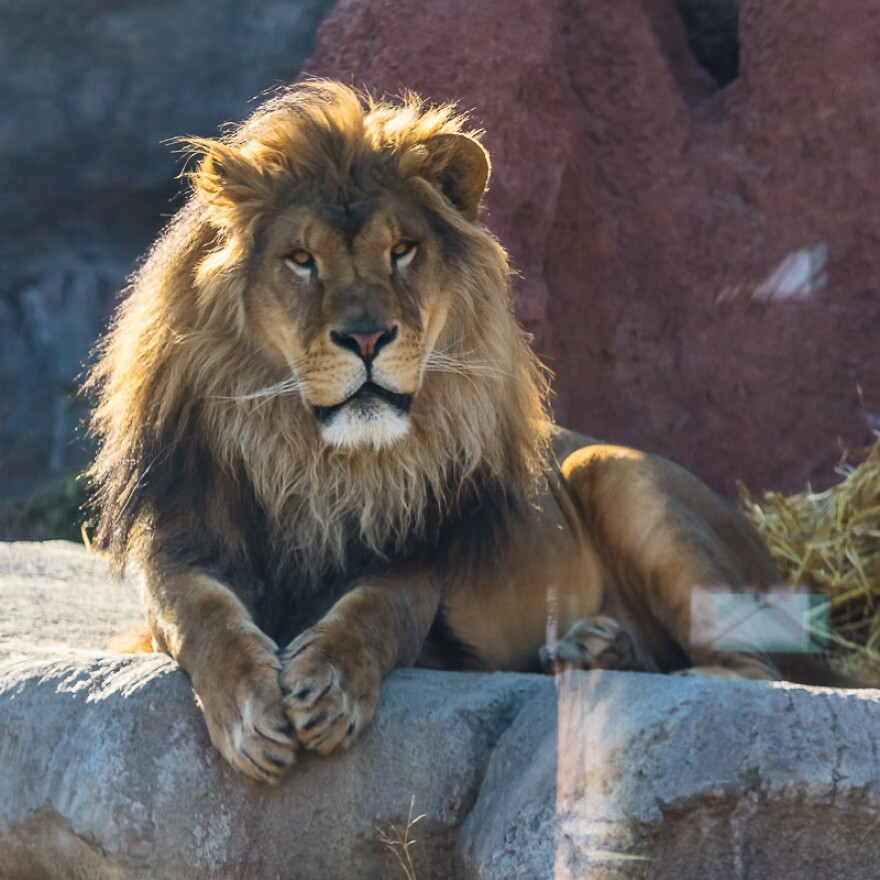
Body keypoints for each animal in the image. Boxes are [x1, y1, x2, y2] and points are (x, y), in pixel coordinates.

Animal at [86, 82, 856, 784]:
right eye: (301, 259)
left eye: (401, 250)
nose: (367, 336)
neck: (312, 458)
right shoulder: (178, 543)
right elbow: (204, 618)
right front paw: (251, 711)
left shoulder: (415, 556)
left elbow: (370, 615)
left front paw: (330, 687)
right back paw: (594, 653)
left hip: (613, 467)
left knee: (763, 672)